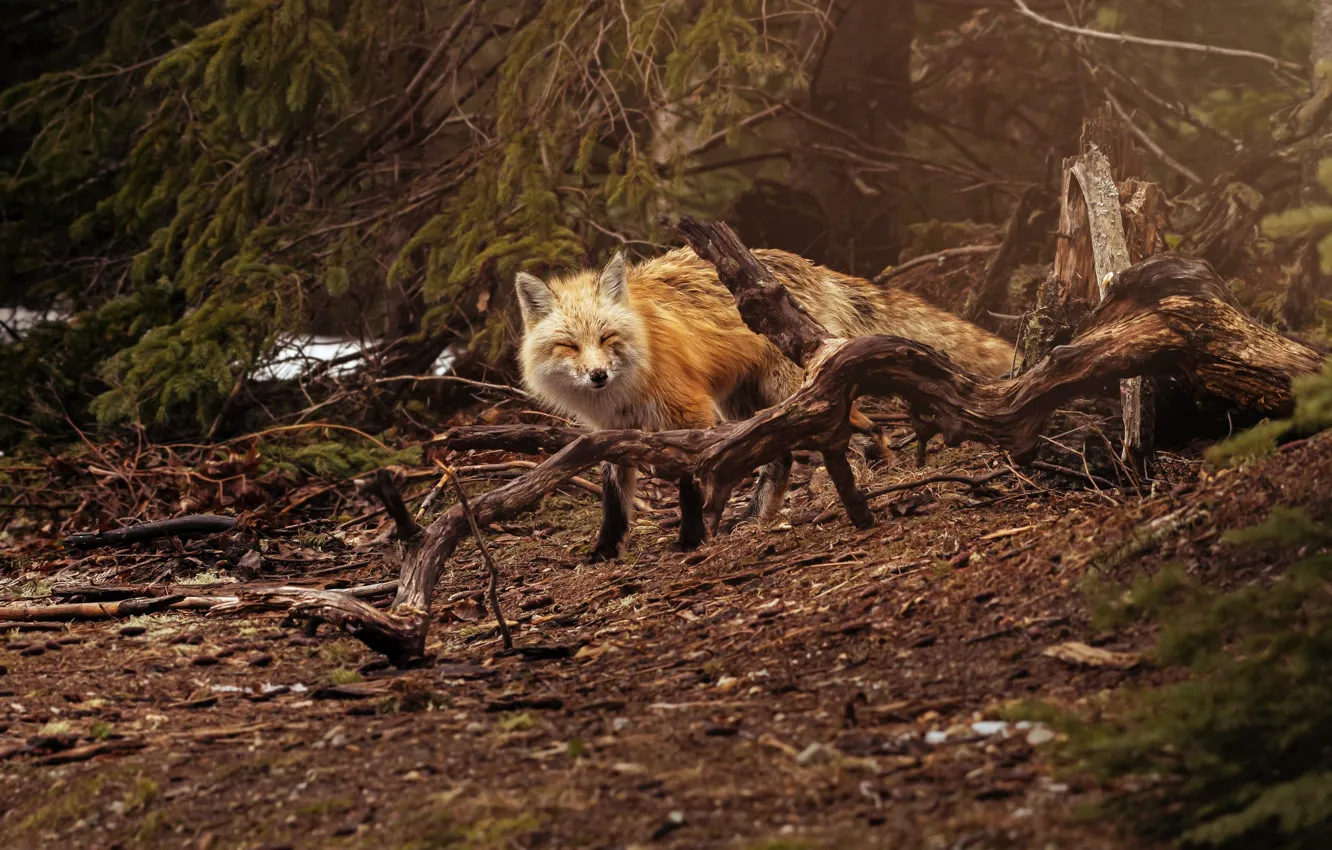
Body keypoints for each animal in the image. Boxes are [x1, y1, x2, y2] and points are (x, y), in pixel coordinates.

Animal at [515, 247, 1013, 561]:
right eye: (568, 346)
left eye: (607, 338)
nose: (598, 376)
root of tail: (808, 265)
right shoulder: (609, 434)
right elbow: (615, 502)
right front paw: (605, 551)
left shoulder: (689, 412)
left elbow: (691, 485)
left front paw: (692, 539)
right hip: (746, 407)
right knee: (782, 457)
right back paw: (759, 515)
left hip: (791, 394)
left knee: (858, 427)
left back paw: (876, 475)